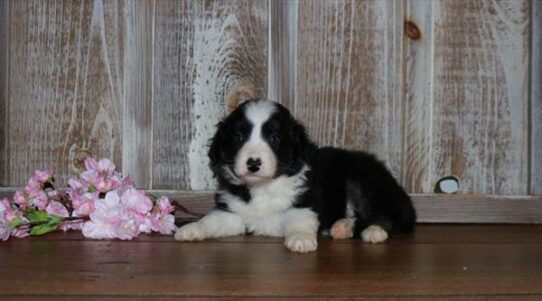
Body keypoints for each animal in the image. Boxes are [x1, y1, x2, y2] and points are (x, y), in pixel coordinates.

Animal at [176, 99, 418, 252]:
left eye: (274, 138)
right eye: (239, 137)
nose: (253, 163)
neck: (263, 188)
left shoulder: (304, 204)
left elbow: (299, 221)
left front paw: (301, 240)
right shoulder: (232, 212)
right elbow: (211, 220)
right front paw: (190, 229)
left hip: (363, 179)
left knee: (390, 216)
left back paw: (374, 230)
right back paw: (342, 227)